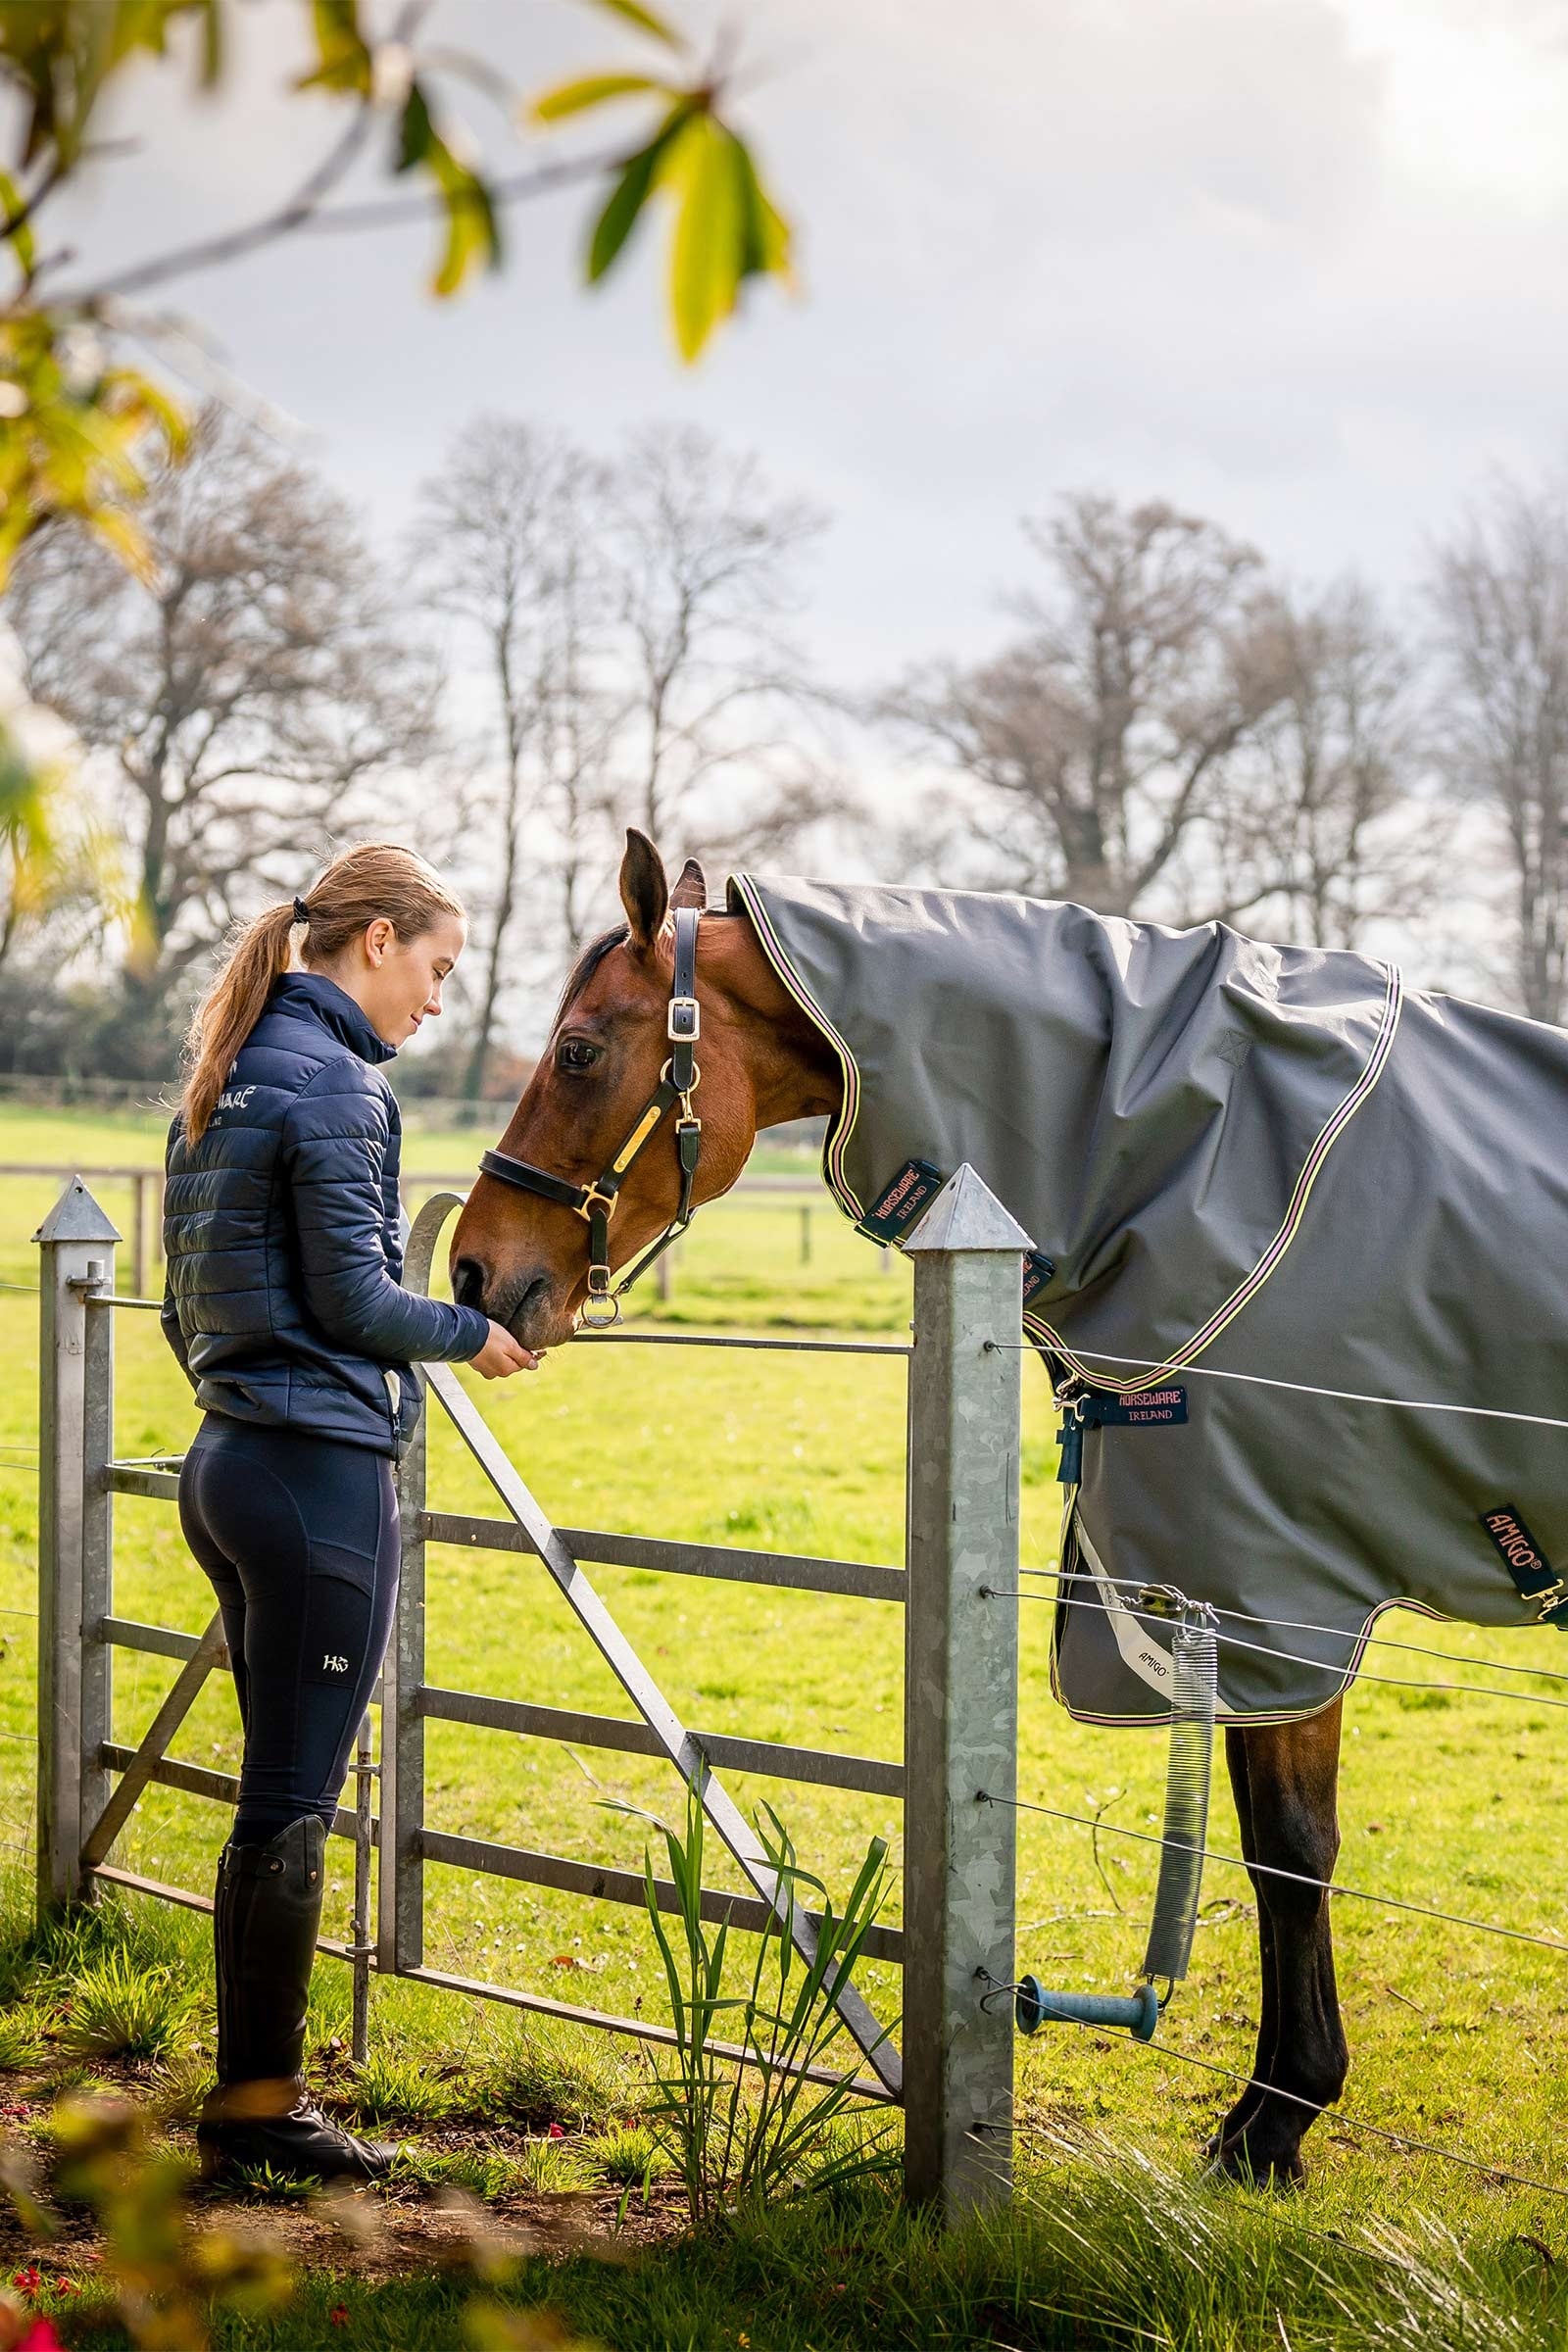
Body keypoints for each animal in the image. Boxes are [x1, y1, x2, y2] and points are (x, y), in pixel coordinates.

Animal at [452, 823, 1461, 2189]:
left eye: (574, 1050)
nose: (471, 1271)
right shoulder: (1255, 1605)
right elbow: (1282, 1847)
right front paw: (1276, 2114)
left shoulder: (1278, 1594)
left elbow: (1290, 1852)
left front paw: (1272, 2124)